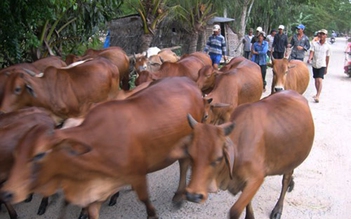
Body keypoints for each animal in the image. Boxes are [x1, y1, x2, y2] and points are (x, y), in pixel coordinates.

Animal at [0, 77, 205, 219]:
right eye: (16, 154)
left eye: (39, 154)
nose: (7, 192)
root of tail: (189, 81)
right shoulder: (96, 190)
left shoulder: (137, 175)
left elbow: (145, 199)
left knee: (184, 164)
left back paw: (179, 195)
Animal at [180, 90, 314, 219]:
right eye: (191, 155)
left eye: (218, 158)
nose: (192, 196)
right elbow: (247, 203)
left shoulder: (257, 178)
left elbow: (235, 211)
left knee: (285, 180)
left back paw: (278, 208)